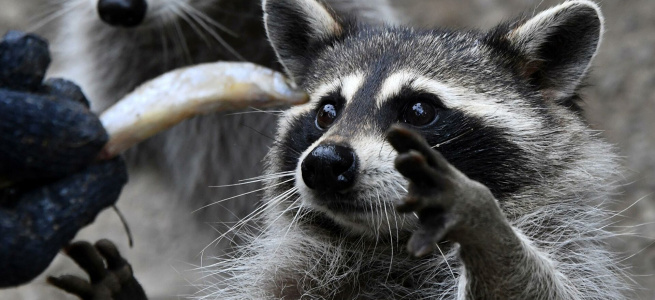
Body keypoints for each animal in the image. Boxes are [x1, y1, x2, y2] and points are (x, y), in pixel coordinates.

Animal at [197, 0, 632, 298]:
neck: (390, 241)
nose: (323, 163)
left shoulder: (568, 249)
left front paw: (484, 223)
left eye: (419, 111)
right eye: (326, 112)